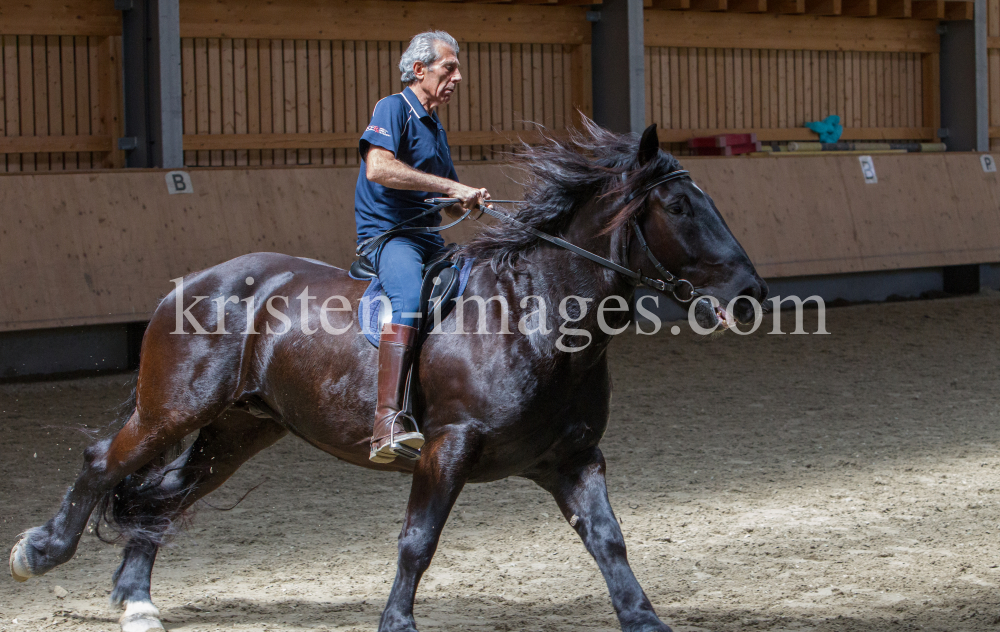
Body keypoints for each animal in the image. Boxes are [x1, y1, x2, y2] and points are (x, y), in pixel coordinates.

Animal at [7, 121, 764, 628]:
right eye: (680, 208)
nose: (753, 295)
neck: (534, 317)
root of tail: (192, 283)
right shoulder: (447, 448)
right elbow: (417, 541)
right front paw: (396, 621)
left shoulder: (573, 457)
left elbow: (608, 540)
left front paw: (643, 617)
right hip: (174, 409)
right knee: (104, 461)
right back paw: (39, 552)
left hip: (238, 429)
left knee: (163, 499)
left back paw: (136, 598)